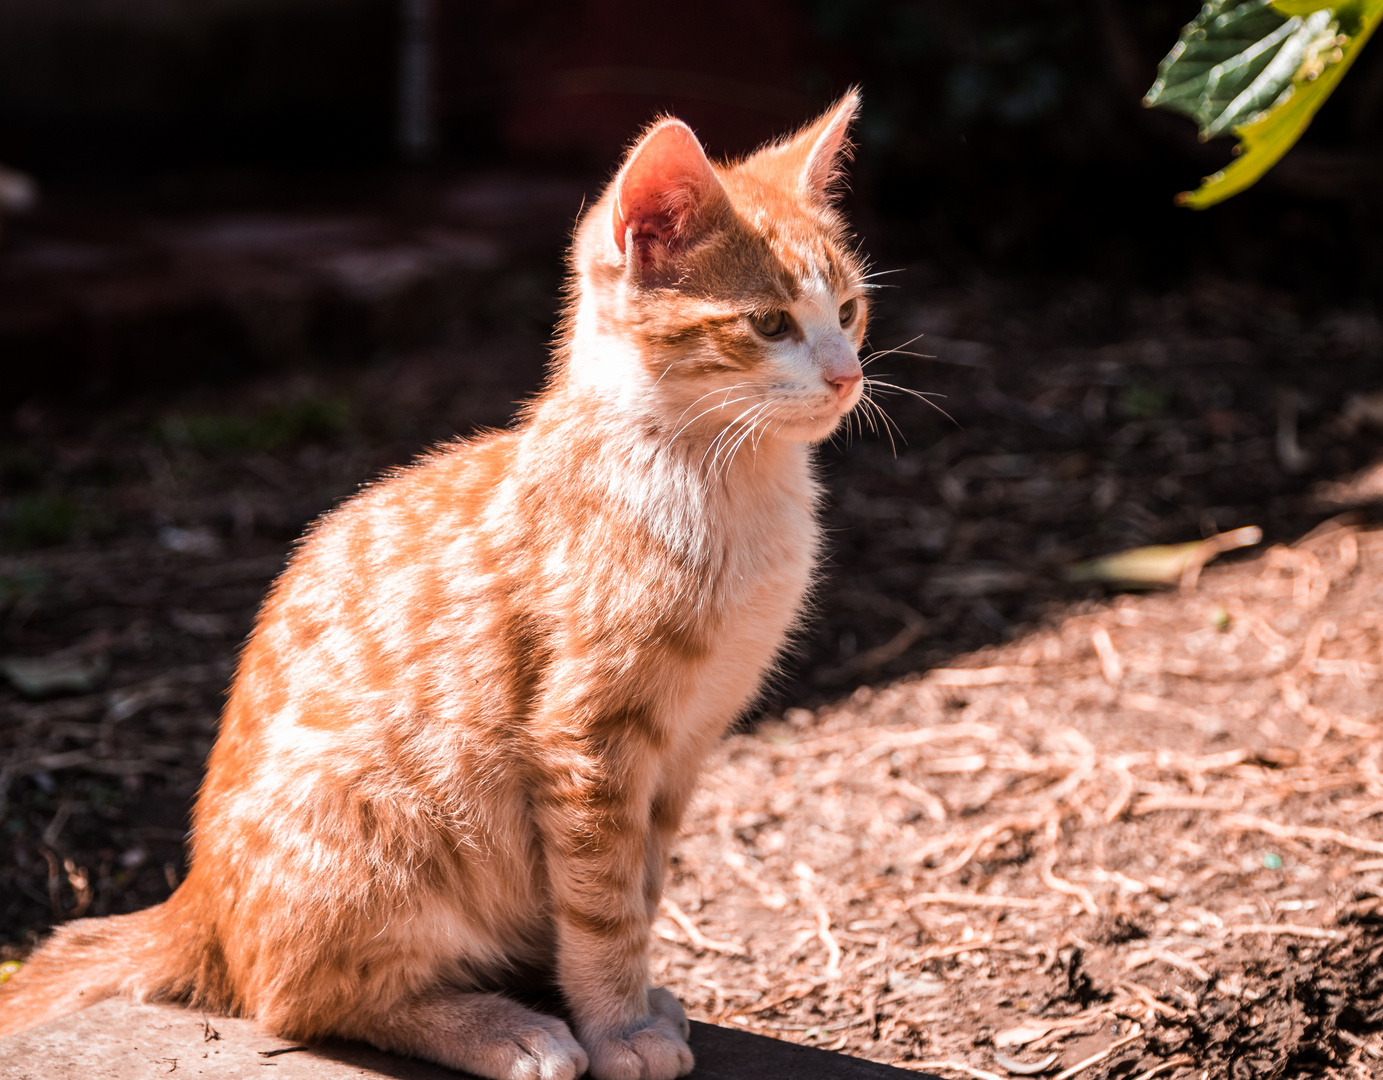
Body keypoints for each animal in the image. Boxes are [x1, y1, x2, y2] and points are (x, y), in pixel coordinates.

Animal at [0, 92, 862, 1078]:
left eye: (849, 310)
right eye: (769, 326)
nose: (848, 375)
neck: (726, 483)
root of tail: (199, 902)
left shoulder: (681, 750)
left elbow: (640, 889)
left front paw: (638, 1002)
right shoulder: (586, 743)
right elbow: (604, 906)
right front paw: (616, 1027)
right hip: (379, 817)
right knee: (297, 1000)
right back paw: (500, 1028)